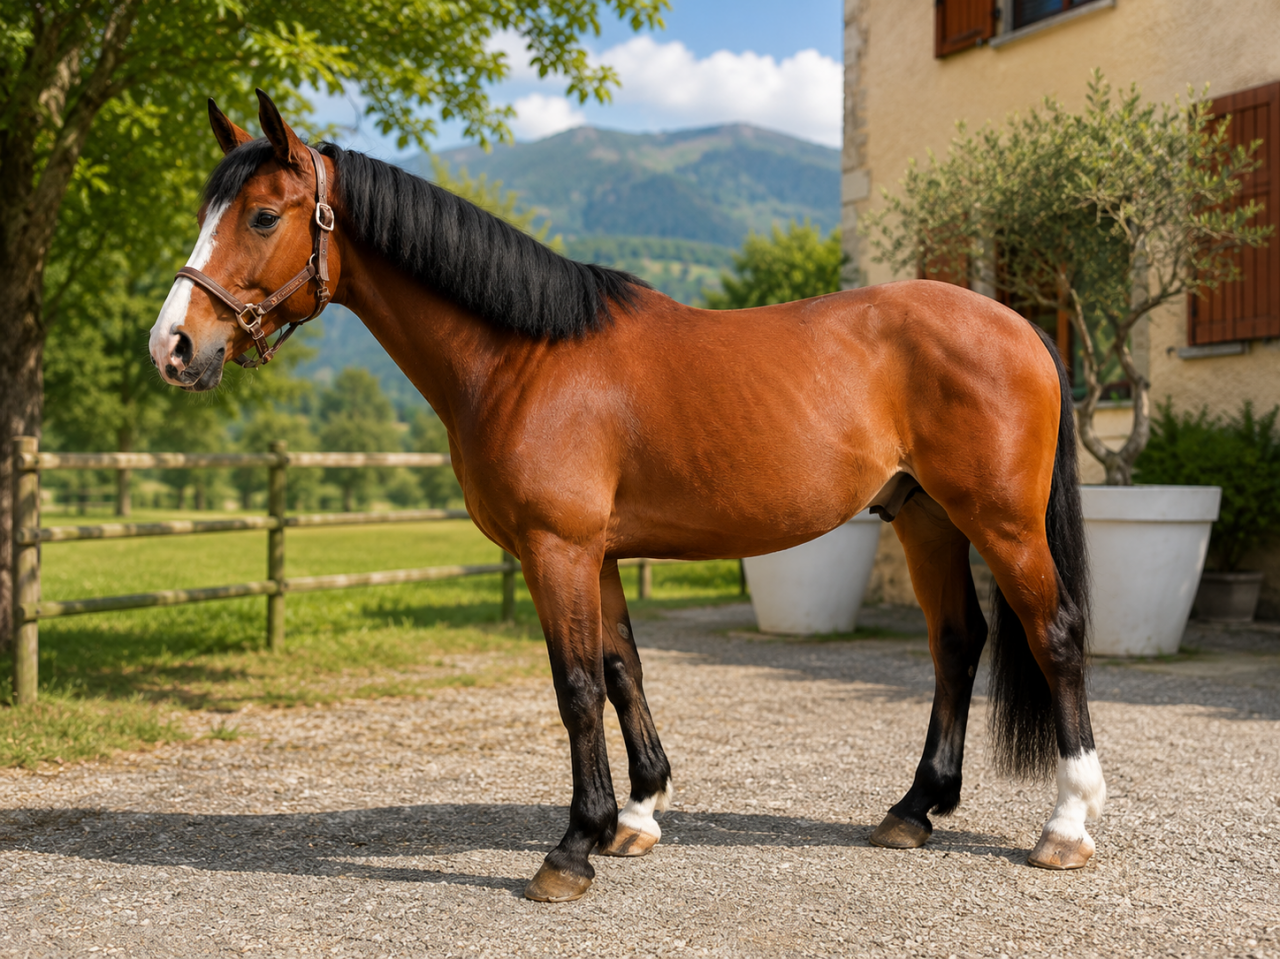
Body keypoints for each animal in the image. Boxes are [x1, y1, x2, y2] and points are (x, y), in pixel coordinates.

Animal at [149, 90, 1105, 902]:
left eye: (263, 215)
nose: (174, 346)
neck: (527, 355)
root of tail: (1023, 326)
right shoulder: (597, 552)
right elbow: (622, 670)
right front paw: (637, 816)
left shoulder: (558, 547)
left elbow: (575, 686)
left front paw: (572, 848)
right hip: (926, 516)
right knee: (957, 642)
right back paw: (913, 809)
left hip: (1002, 522)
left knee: (1052, 633)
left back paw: (1065, 823)